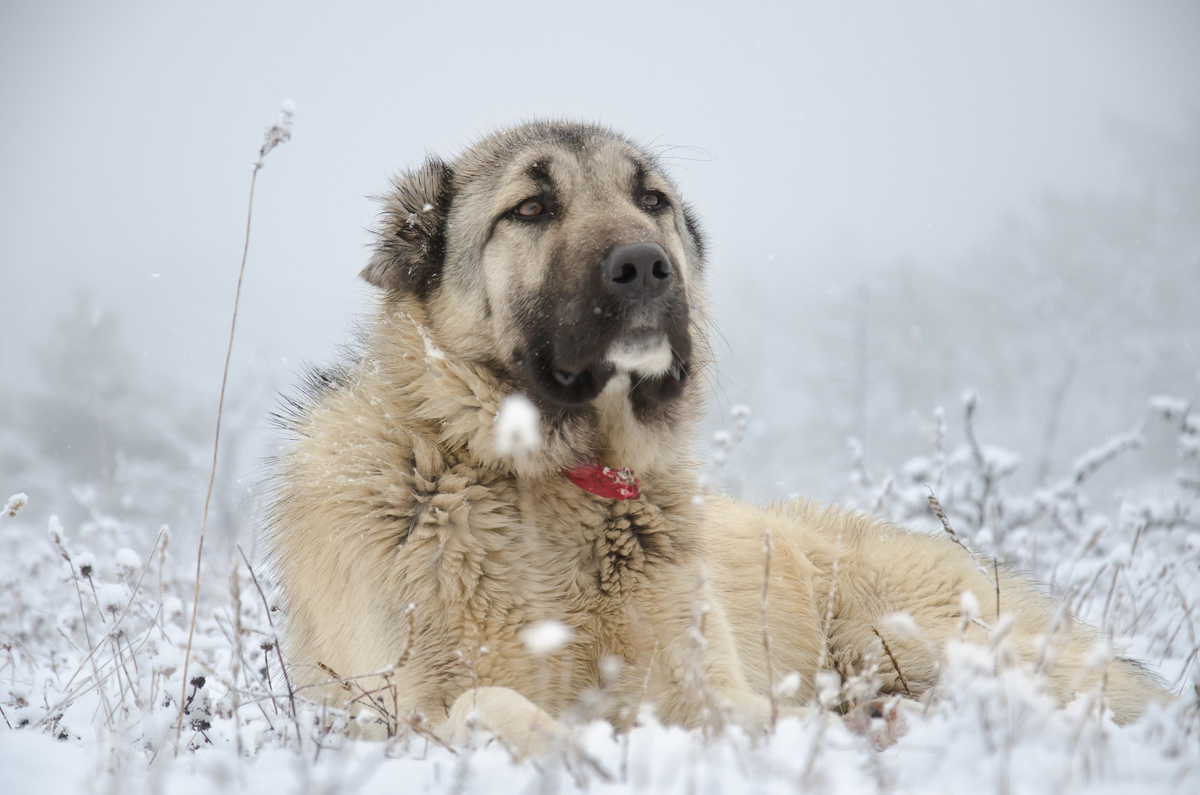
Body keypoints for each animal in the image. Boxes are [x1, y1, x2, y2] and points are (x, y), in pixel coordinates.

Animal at [265, 121, 1171, 758]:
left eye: (652, 200)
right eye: (531, 209)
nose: (643, 264)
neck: (547, 479)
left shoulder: (711, 692)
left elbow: (725, 722)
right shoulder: (388, 711)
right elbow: (475, 704)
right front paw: (571, 747)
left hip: (916, 635)